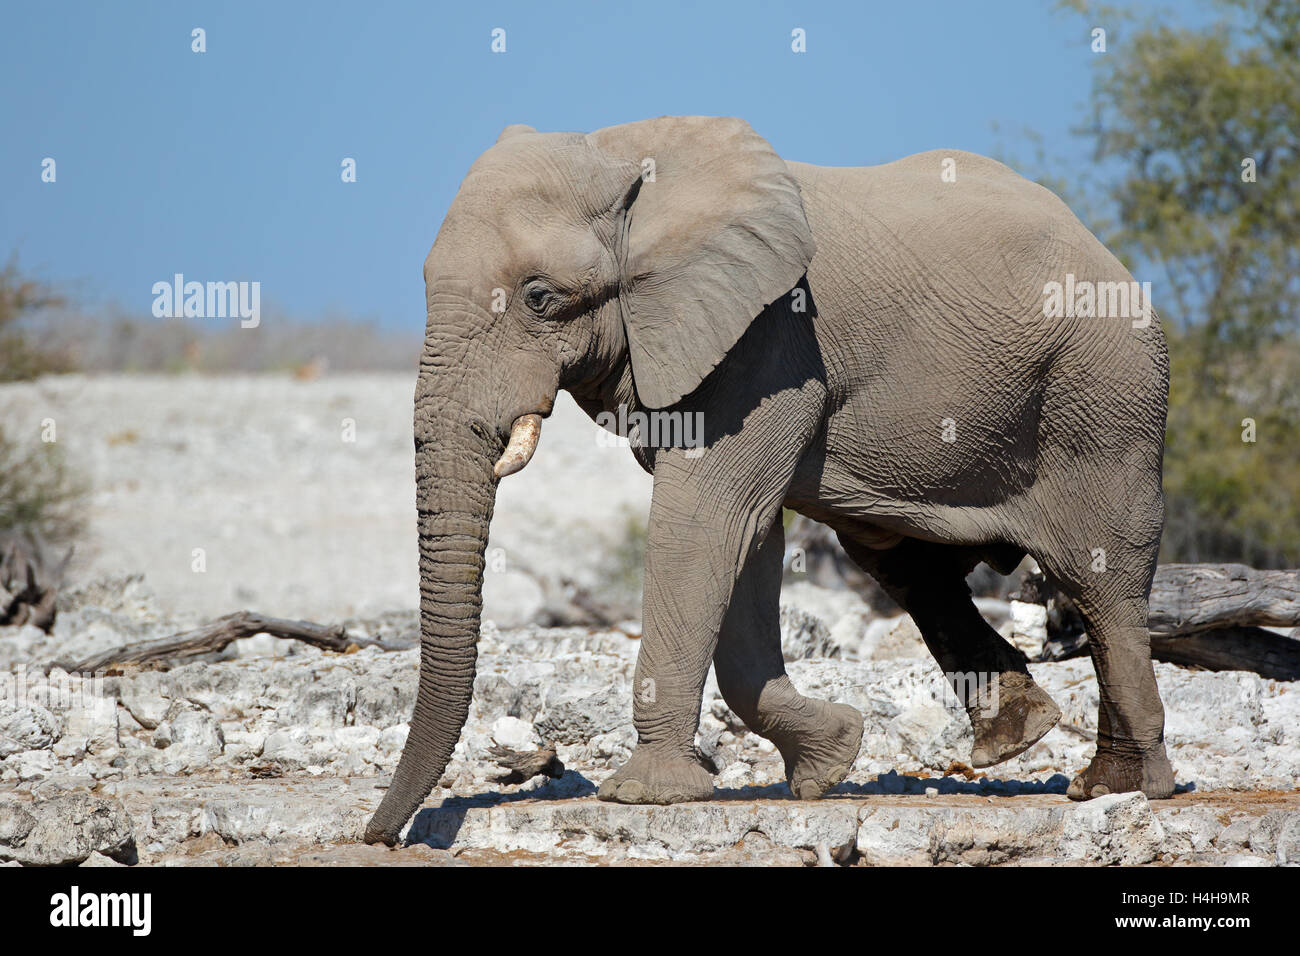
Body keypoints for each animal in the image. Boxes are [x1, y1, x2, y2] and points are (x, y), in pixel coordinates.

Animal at [361, 117, 1175, 842]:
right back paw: (1026, 742)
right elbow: (745, 535)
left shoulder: (768, 339)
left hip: (1105, 396)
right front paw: (830, 761)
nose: (381, 836)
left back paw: (1127, 787)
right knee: (907, 566)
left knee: (1100, 582)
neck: (621, 154)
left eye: (538, 297)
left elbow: (705, 517)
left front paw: (646, 796)